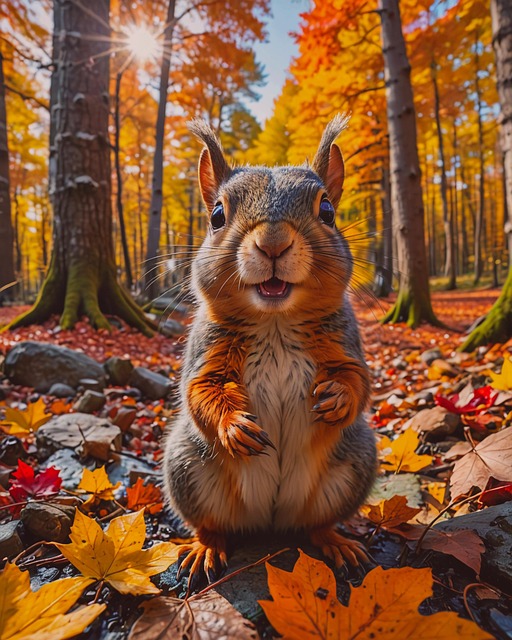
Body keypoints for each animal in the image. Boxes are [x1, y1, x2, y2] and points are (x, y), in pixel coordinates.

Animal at [163, 115, 377, 581]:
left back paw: (336, 542)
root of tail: (271, 520)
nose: (274, 243)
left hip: (354, 464)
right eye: (217, 215)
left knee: (318, 524)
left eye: (328, 211)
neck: (275, 322)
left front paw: (338, 397)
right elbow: (201, 391)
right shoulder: (206, 351)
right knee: (212, 525)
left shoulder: (344, 340)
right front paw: (233, 427)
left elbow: (358, 379)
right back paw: (205, 547)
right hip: (187, 468)